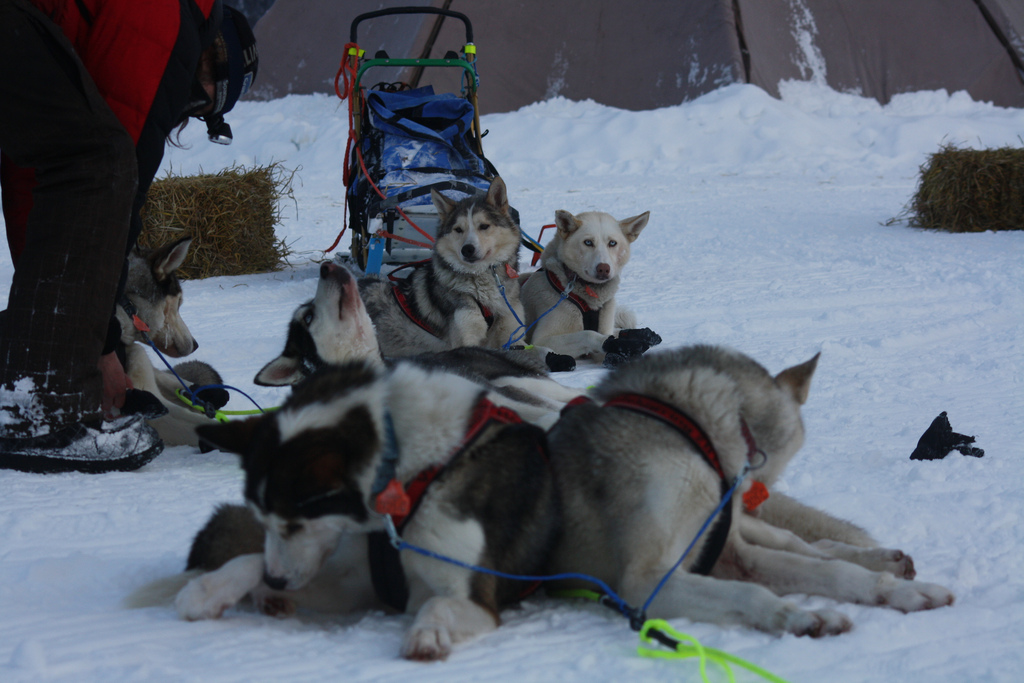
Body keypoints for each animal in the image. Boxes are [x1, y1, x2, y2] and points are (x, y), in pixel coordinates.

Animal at [169, 362, 561, 663]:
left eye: (296, 524)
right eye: (261, 520)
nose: (277, 581)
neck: (417, 478)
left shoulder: (475, 596)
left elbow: (438, 604)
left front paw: (427, 632)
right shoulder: (353, 585)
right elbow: (250, 560)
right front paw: (208, 590)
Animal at [544, 344, 950, 638]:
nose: (758, 496)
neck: (687, 426)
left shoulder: (727, 549)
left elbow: (830, 571)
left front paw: (895, 591)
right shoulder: (648, 580)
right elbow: (751, 590)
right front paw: (801, 616)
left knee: (807, 545)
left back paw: (883, 562)